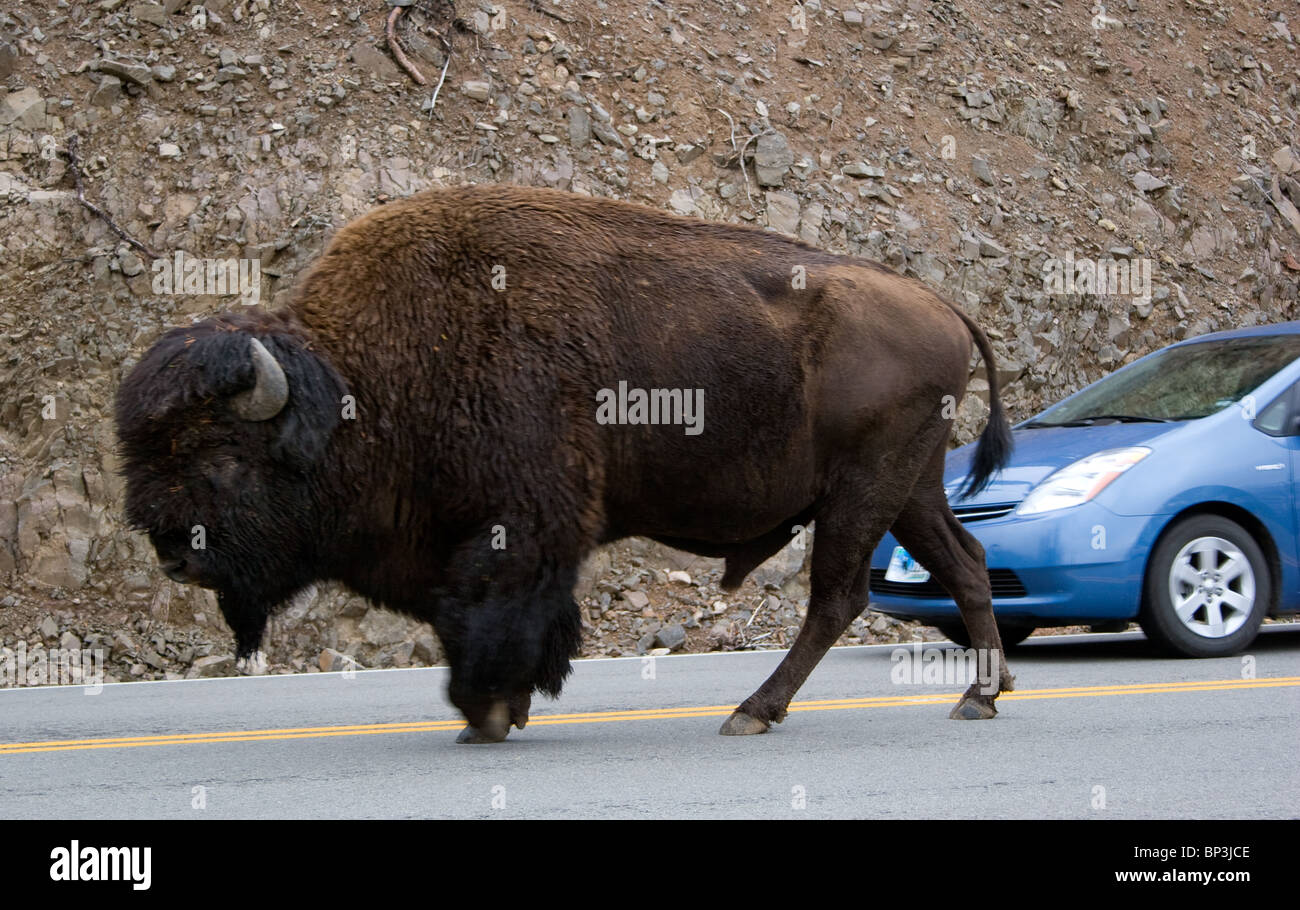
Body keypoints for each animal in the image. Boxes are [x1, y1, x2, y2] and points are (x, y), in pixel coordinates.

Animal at [116, 183, 1013, 738]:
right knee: (964, 562)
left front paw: (486, 714)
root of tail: (943, 306)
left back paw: (753, 711)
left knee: (837, 596)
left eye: (225, 460)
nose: (173, 556)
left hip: (864, 489)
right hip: (911, 487)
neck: (361, 383)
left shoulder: (522, 528)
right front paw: (500, 711)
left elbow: (495, 614)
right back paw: (981, 695)